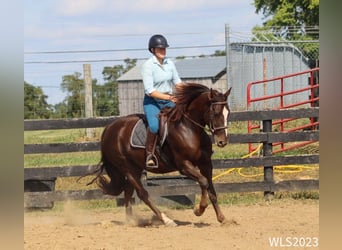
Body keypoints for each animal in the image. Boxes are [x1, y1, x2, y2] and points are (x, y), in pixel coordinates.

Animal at [88, 82, 232, 227]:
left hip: (135, 168)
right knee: (142, 194)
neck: (189, 129)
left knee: (128, 192)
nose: (222, 141)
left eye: (228, 113)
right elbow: (203, 182)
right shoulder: (184, 166)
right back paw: (166, 220)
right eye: (215, 112)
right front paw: (199, 209)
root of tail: (109, 128)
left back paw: (131, 221)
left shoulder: (206, 164)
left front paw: (222, 219)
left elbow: (211, 189)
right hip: (127, 168)